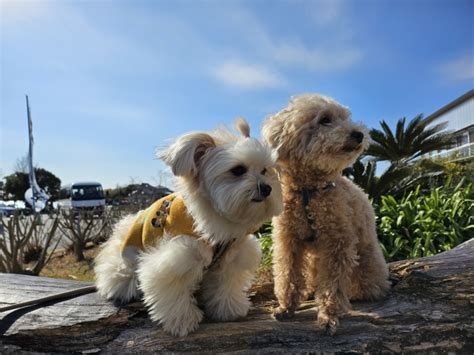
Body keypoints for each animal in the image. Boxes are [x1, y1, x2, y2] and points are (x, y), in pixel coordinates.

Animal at [94, 119, 284, 336]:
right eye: (238, 170)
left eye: (265, 170)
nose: (267, 188)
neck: (215, 222)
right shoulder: (177, 257)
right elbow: (173, 290)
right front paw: (182, 321)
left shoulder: (233, 255)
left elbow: (226, 283)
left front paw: (228, 309)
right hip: (125, 262)